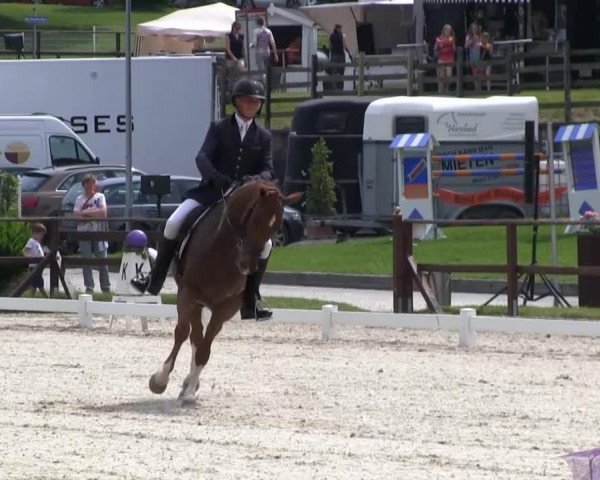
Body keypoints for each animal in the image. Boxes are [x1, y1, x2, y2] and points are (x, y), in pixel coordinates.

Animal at [148, 178, 302, 404]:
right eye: (255, 218)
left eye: (277, 225)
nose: (248, 267)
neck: (224, 252)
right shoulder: (188, 293)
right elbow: (182, 332)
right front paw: (160, 380)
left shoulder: (226, 307)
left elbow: (205, 348)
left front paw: (190, 391)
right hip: (194, 298)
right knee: (193, 334)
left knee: (198, 338)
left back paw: (190, 383)